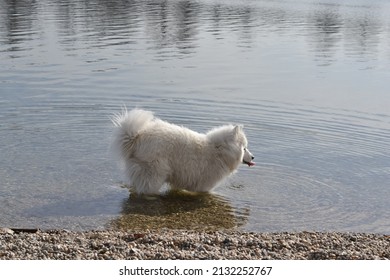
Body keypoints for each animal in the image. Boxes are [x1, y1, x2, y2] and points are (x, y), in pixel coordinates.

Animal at [111, 108, 254, 194]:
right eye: (245, 148)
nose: (253, 157)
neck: (219, 151)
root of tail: (136, 137)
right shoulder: (205, 187)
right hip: (154, 175)